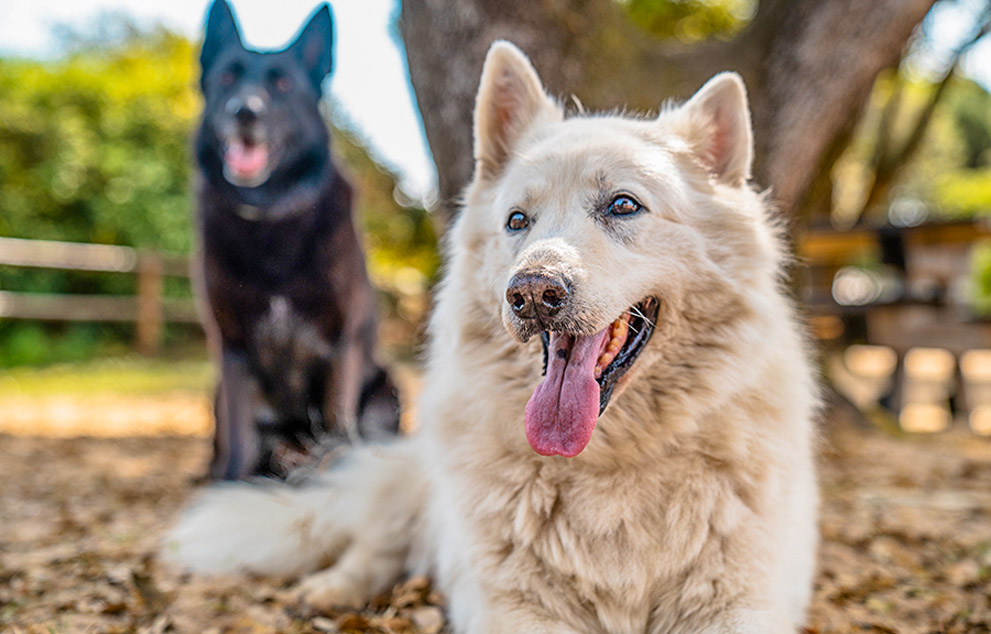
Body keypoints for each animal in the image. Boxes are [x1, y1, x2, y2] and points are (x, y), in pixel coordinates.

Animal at [196, 0, 402, 474]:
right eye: (227, 78)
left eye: (284, 84)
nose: (245, 111)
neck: (271, 216)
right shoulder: (232, 350)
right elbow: (239, 439)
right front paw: (232, 482)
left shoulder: (341, 345)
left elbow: (337, 419)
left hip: (386, 389)